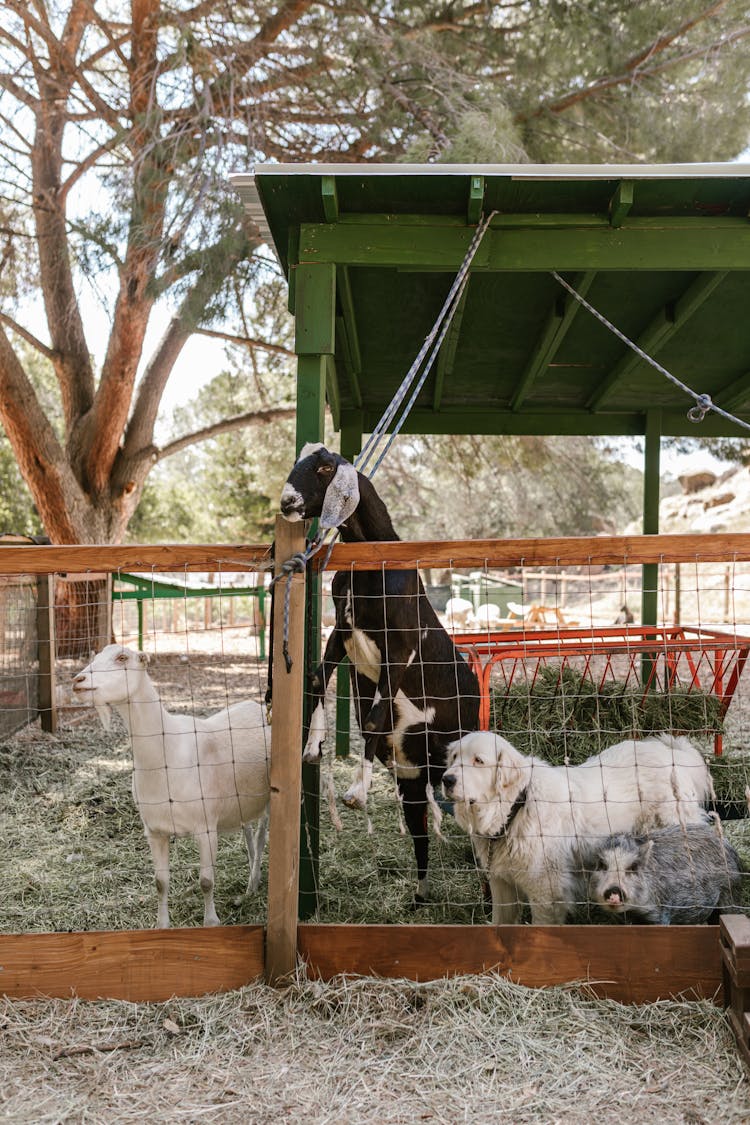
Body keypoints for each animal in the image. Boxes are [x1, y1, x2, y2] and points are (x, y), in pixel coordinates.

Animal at [71, 648, 270, 927]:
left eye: (122, 658)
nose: (77, 681)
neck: (169, 750)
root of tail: (259, 707)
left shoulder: (206, 827)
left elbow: (206, 881)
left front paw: (211, 922)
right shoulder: (155, 831)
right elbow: (160, 882)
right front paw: (162, 925)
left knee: (262, 837)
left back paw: (253, 881)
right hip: (242, 801)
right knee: (249, 832)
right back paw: (251, 885)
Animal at [278, 443, 479, 900]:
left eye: (325, 467)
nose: (287, 502)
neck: (374, 563)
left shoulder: (398, 647)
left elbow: (372, 717)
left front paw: (356, 791)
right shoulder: (342, 632)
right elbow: (317, 680)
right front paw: (311, 748)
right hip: (413, 776)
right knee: (420, 830)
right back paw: (420, 894)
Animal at [443, 729, 719, 922]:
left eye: (479, 761)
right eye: (454, 758)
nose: (447, 779)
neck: (517, 807)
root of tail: (673, 752)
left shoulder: (546, 893)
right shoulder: (502, 884)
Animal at [584, 823, 742, 927]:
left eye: (633, 867)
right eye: (602, 865)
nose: (614, 890)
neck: (633, 912)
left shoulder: (661, 910)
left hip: (729, 891)